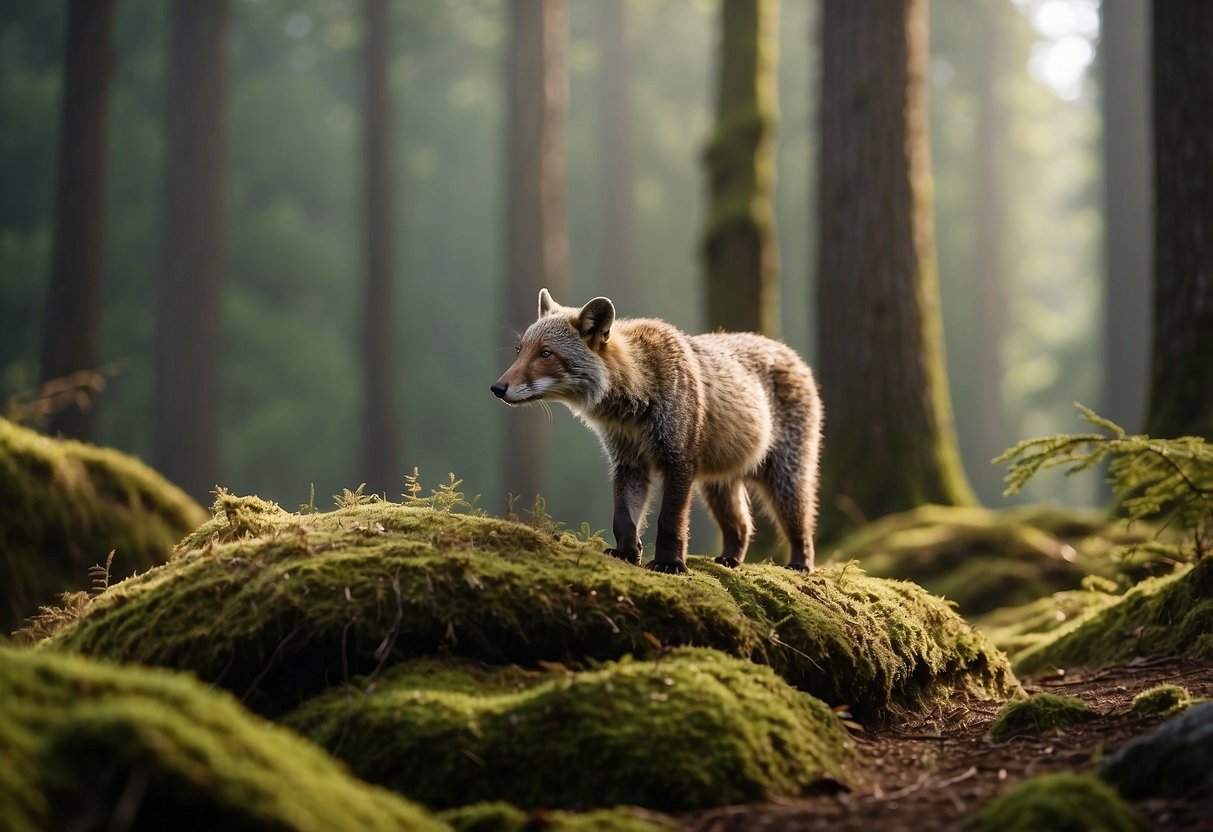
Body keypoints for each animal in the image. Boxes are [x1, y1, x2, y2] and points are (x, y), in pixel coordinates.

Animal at [492, 292, 824, 572]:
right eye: (520, 350)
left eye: (546, 353)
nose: (497, 388)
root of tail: (793, 355)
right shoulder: (629, 463)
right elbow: (623, 519)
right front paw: (627, 553)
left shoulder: (678, 460)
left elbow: (669, 522)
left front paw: (670, 563)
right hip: (717, 486)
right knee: (742, 527)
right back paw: (730, 560)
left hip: (785, 483)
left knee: (802, 530)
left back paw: (800, 565)